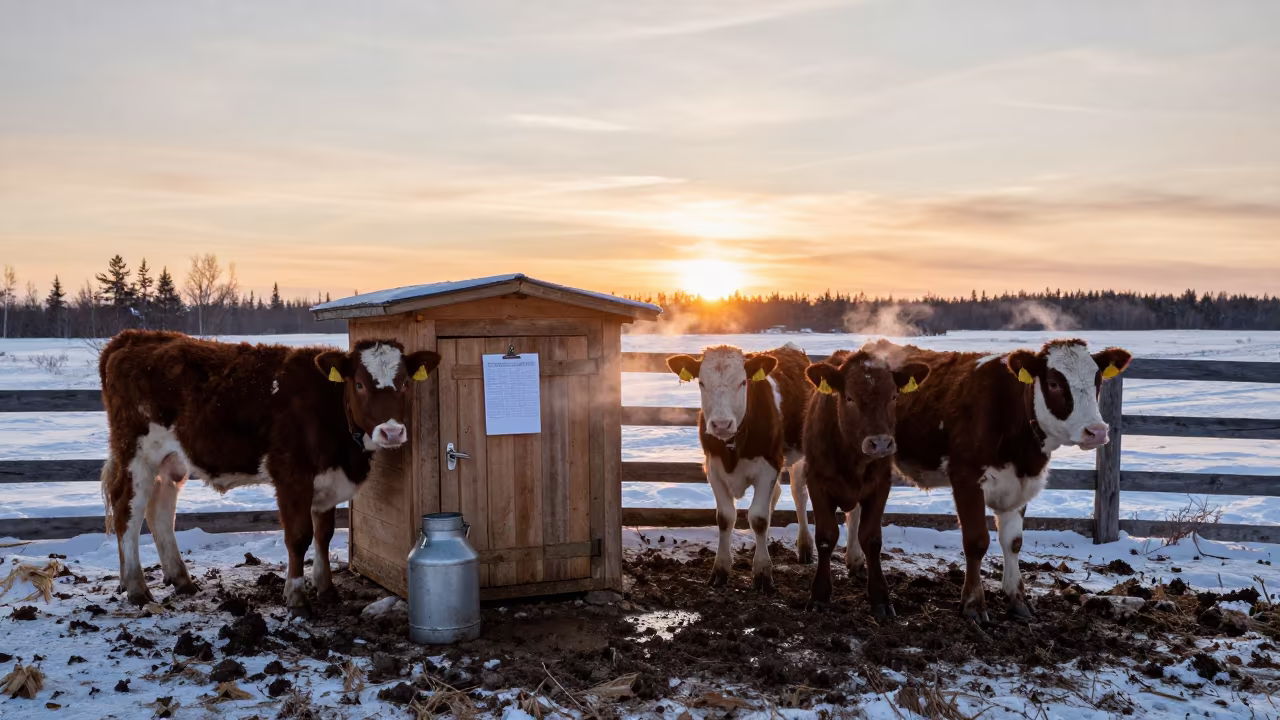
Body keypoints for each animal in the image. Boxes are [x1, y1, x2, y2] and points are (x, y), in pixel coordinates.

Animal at [99, 329, 441, 615]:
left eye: (405, 383)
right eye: (359, 384)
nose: (392, 432)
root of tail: (133, 337)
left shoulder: (328, 480)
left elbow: (325, 534)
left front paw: (326, 588)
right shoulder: (291, 476)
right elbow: (299, 537)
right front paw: (297, 598)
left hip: (171, 460)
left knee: (160, 511)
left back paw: (180, 580)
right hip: (136, 452)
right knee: (127, 511)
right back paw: (136, 588)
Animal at [665, 343, 811, 592]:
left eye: (743, 382)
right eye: (702, 382)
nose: (722, 424)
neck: (732, 447)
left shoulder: (769, 466)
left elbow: (759, 517)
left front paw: (763, 573)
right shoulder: (713, 469)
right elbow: (725, 517)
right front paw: (720, 571)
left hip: (800, 455)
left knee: (798, 494)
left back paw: (805, 547)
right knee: (777, 495)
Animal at [795, 341, 931, 617]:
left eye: (893, 396)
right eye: (849, 397)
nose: (880, 443)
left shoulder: (880, 485)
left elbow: (871, 538)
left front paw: (880, 596)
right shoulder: (818, 482)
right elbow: (825, 536)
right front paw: (820, 595)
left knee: (854, 516)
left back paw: (855, 560)